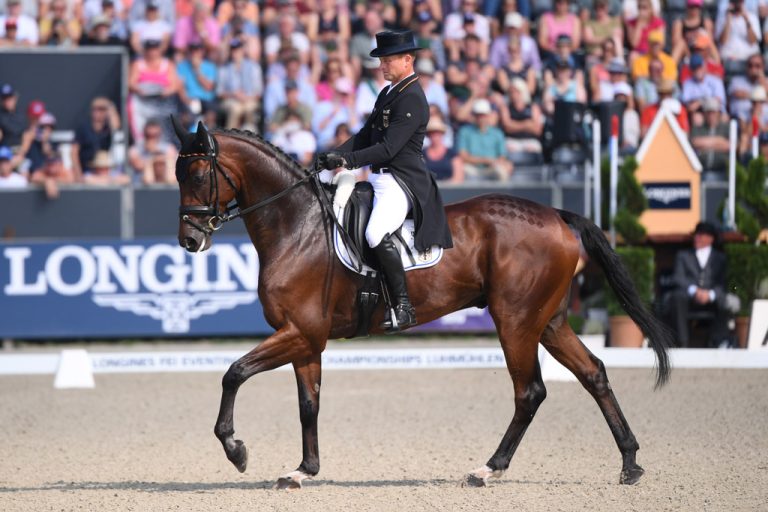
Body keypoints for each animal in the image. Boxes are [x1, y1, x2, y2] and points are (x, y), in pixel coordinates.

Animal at [172, 120, 672, 490]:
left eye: (196, 176)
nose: (189, 241)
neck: (298, 226)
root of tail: (556, 215)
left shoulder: (299, 332)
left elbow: (234, 373)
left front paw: (236, 450)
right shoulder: (307, 340)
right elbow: (308, 404)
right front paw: (302, 471)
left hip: (516, 322)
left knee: (530, 392)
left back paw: (488, 468)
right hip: (549, 322)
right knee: (593, 373)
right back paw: (630, 463)